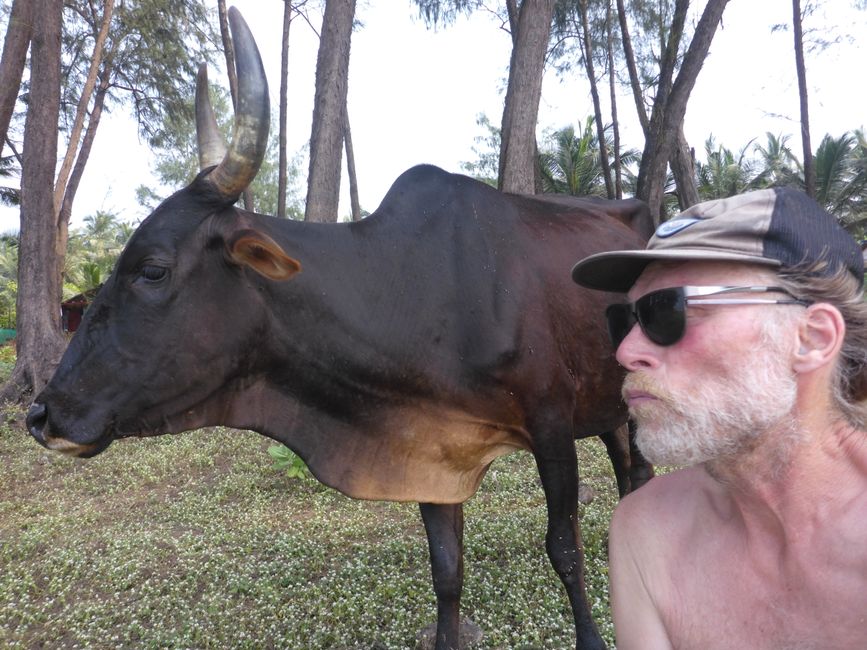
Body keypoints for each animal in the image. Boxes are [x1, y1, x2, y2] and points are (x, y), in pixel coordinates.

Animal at [26, 9, 652, 650]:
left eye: (153, 269)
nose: (43, 414)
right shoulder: (430, 446)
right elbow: (447, 569)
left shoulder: (551, 425)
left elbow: (564, 550)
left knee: (637, 474)